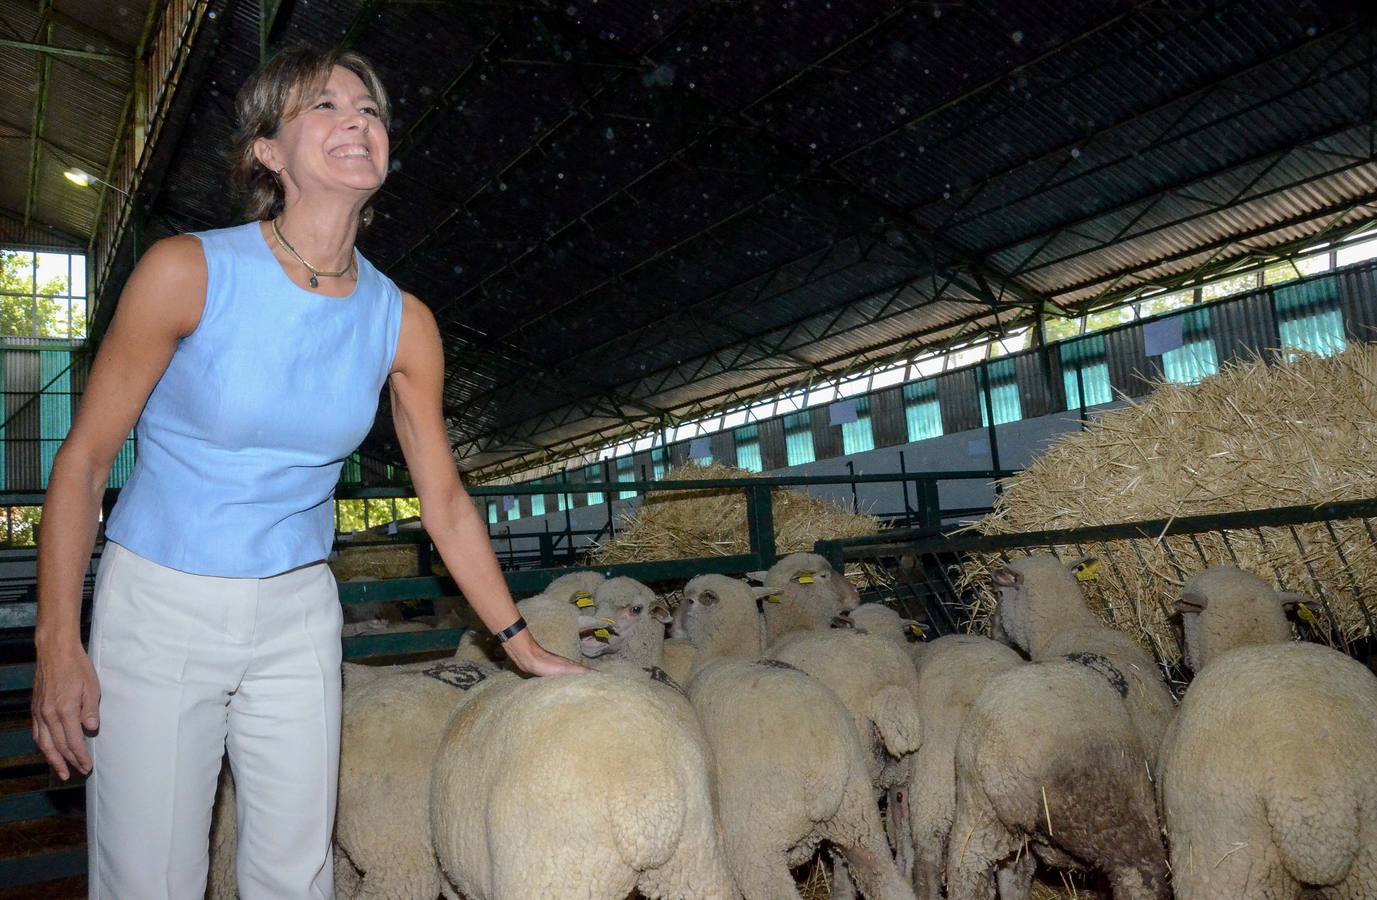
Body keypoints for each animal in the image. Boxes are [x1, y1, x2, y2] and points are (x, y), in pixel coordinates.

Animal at [674, 577, 914, 900]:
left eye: (688, 601)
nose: (671, 624)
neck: (722, 655)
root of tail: (825, 766)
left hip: (757, 842)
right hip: (858, 817)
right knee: (885, 877)